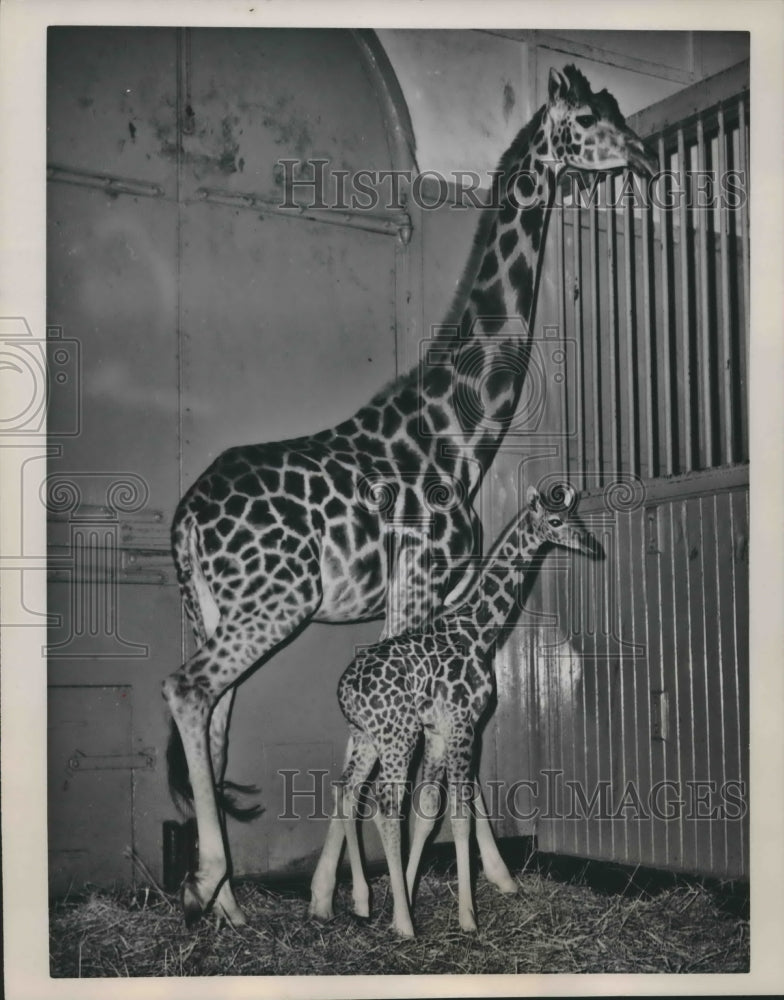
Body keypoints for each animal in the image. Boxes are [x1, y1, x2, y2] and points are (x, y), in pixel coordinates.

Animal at [310, 484, 596, 936]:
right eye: (556, 521)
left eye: (577, 517)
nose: (591, 545)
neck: (479, 632)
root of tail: (345, 691)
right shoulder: (464, 723)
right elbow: (460, 817)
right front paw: (466, 916)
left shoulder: (438, 730)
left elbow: (428, 813)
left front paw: (408, 892)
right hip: (397, 736)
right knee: (385, 806)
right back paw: (403, 924)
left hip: (368, 736)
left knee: (349, 792)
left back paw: (361, 901)